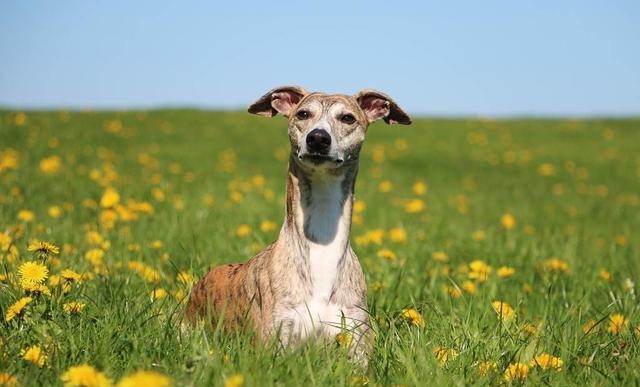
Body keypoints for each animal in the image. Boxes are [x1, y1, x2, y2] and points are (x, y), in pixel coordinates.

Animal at [185, 85, 412, 364]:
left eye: (347, 118)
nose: (318, 138)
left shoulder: (357, 349)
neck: (322, 248)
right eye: (303, 113)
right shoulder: (277, 345)